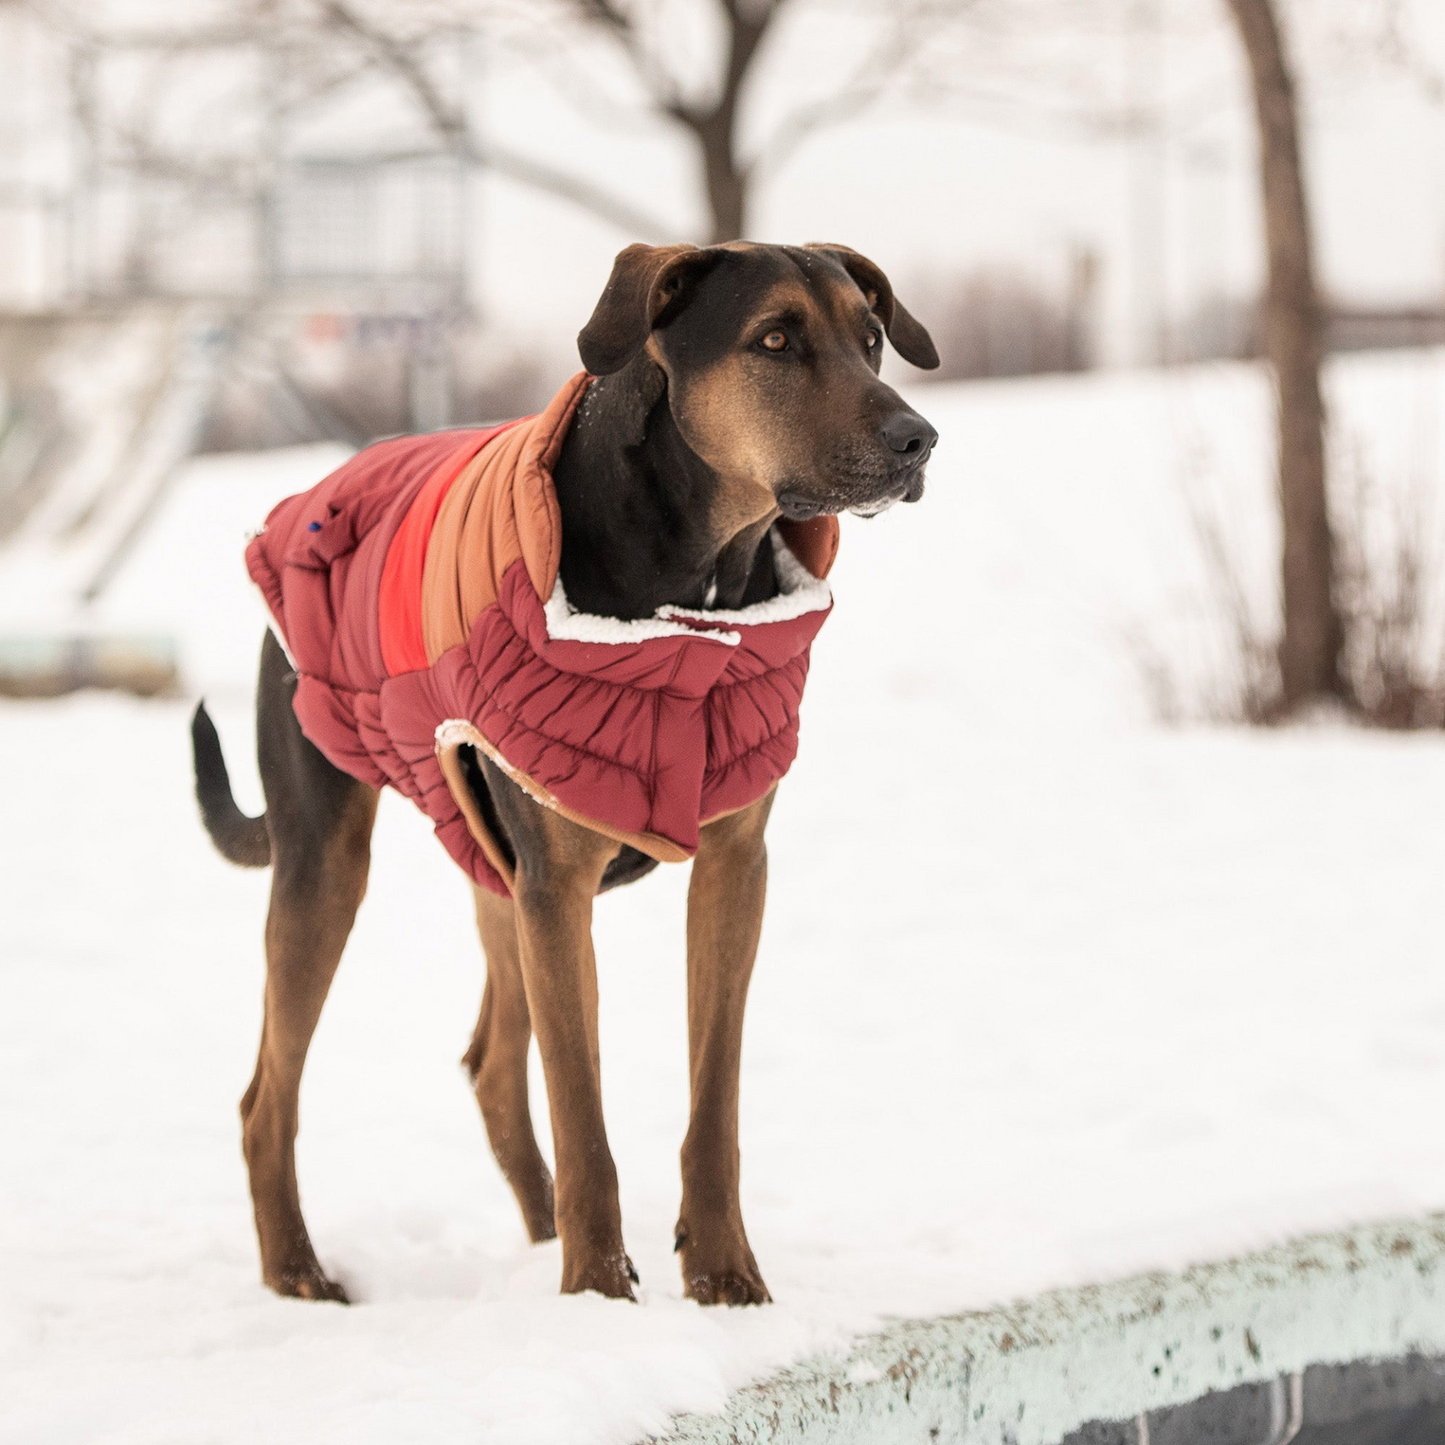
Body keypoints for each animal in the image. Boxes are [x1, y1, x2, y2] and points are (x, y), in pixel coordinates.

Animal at [189, 242, 936, 1306]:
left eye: (871, 339)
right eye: (774, 340)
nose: (920, 440)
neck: (694, 590)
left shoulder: (732, 869)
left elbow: (714, 1102)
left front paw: (722, 1276)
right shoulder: (557, 886)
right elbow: (582, 1111)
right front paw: (597, 1294)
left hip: (485, 858)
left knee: (494, 1064)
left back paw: (537, 1228)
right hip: (328, 860)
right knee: (269, 1096)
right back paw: (298, 1270)